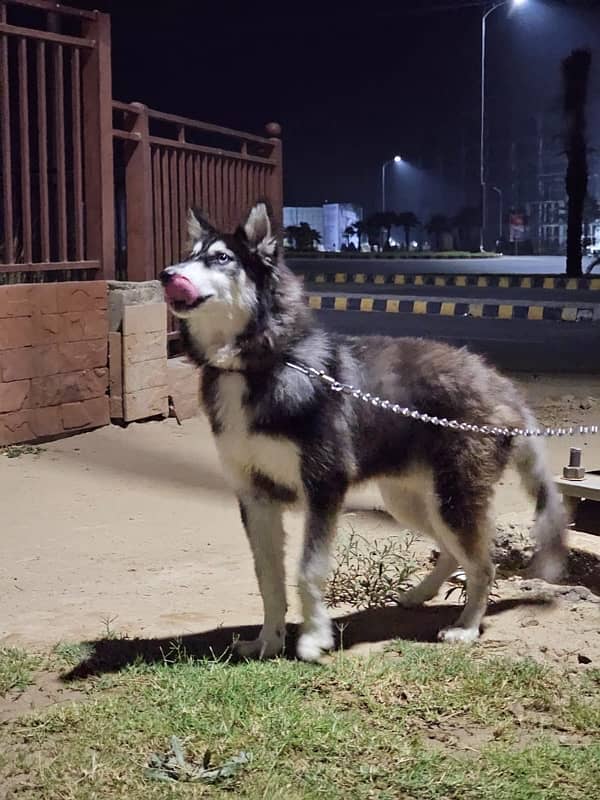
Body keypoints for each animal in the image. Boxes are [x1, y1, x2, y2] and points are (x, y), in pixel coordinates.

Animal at [161, 202, 568, 664]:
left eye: (221, 258)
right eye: (189, 255)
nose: (165, 274)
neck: (258, 366)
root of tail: (499, 381)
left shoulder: (324, 487)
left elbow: (308, 571)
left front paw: (313, 639)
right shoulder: (255, 495)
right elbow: (268, 577)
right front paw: (267, 641)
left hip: (453, 498)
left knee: (483, 562)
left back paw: (466, 627)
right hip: (409, 501)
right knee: (452, 552)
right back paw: (420, 594)